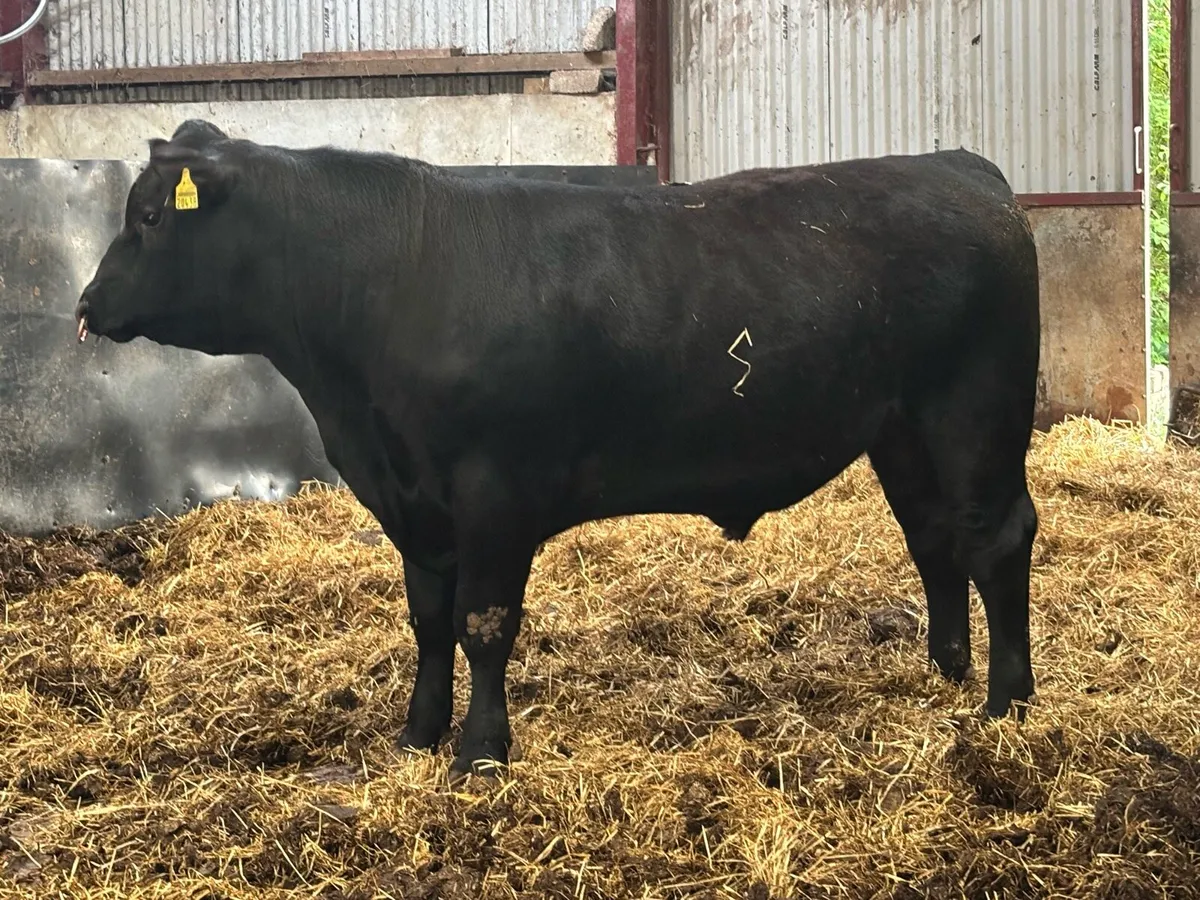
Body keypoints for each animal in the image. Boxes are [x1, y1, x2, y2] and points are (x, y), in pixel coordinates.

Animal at [76, 119, 1040, 780]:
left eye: (152, 215)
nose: (86, 303)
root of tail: (961, 165)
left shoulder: (494, 490)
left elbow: (482, 622)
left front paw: (479, 752)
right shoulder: (413, 500)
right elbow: (428, 620)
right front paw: (416, 737)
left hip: (976, 413)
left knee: (996, 539)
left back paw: (1007, 704)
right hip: (902, 430)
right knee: (934, 539)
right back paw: (948, 672)